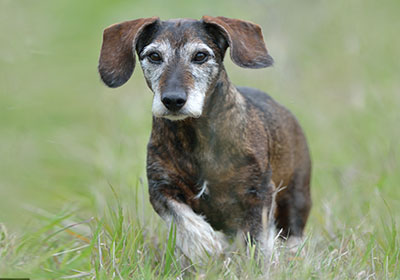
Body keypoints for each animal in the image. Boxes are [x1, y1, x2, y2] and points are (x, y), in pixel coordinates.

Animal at [98, 15, 310, 260]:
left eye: (200, 56)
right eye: (154, 56)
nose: (173, 100)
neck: (197, 135)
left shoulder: (259, 192)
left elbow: (258, 239)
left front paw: (261, 263)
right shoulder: (161, 187)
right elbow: (181, 217)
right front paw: (204, 245)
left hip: (296, 196)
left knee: (293, 231)